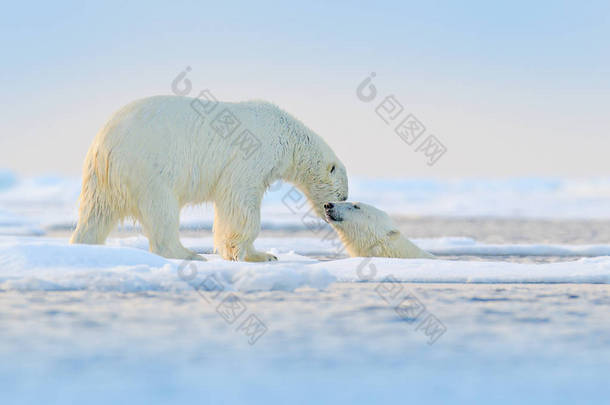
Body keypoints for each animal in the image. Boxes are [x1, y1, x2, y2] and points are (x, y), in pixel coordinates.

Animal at [70, 97, 346, 262]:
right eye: (342, 195)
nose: (329, 213)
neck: (286, 135)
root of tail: (102, 143)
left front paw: (265, 255)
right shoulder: (252, 156)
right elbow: (240, 200)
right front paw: (251, 254)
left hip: (103, 179)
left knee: (96, 214)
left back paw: (84, 246)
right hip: (147, 167)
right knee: (162, 211)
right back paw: (188, 254)